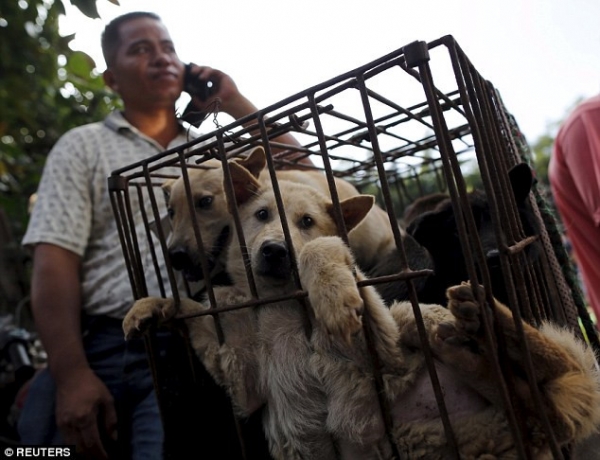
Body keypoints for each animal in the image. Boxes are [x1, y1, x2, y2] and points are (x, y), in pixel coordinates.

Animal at [125, 160, 600, 458]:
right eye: (260, 215)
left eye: (306, 222)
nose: (275, 251)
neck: (281, 307)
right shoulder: (244, 383)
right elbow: (195, 318)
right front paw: (154, 307)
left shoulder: (379, 349)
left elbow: (325, 250)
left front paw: (333, 296)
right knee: (530, 402)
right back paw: (477, 351)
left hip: (409, 316)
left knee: (555, 376)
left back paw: (489, 321)